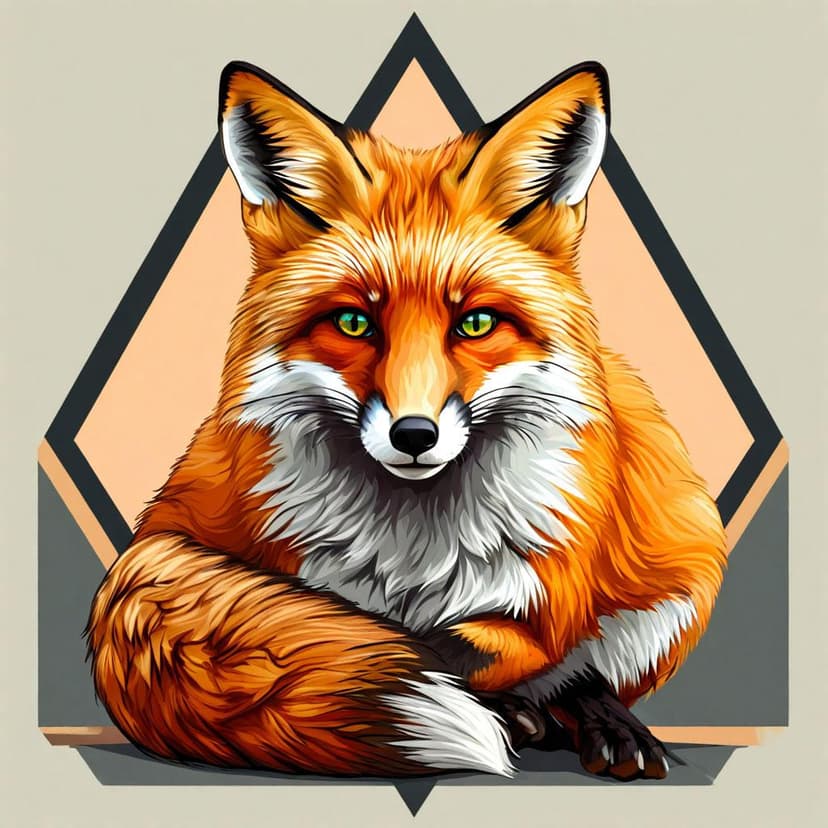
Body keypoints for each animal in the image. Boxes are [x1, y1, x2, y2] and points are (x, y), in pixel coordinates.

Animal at [85, 59, 727, 782]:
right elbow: (358, 638)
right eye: (353, 322)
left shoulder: (552, 587)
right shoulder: (172, 533)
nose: (414, 435)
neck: (411, 552)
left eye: (475, 323)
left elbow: (490, 646)